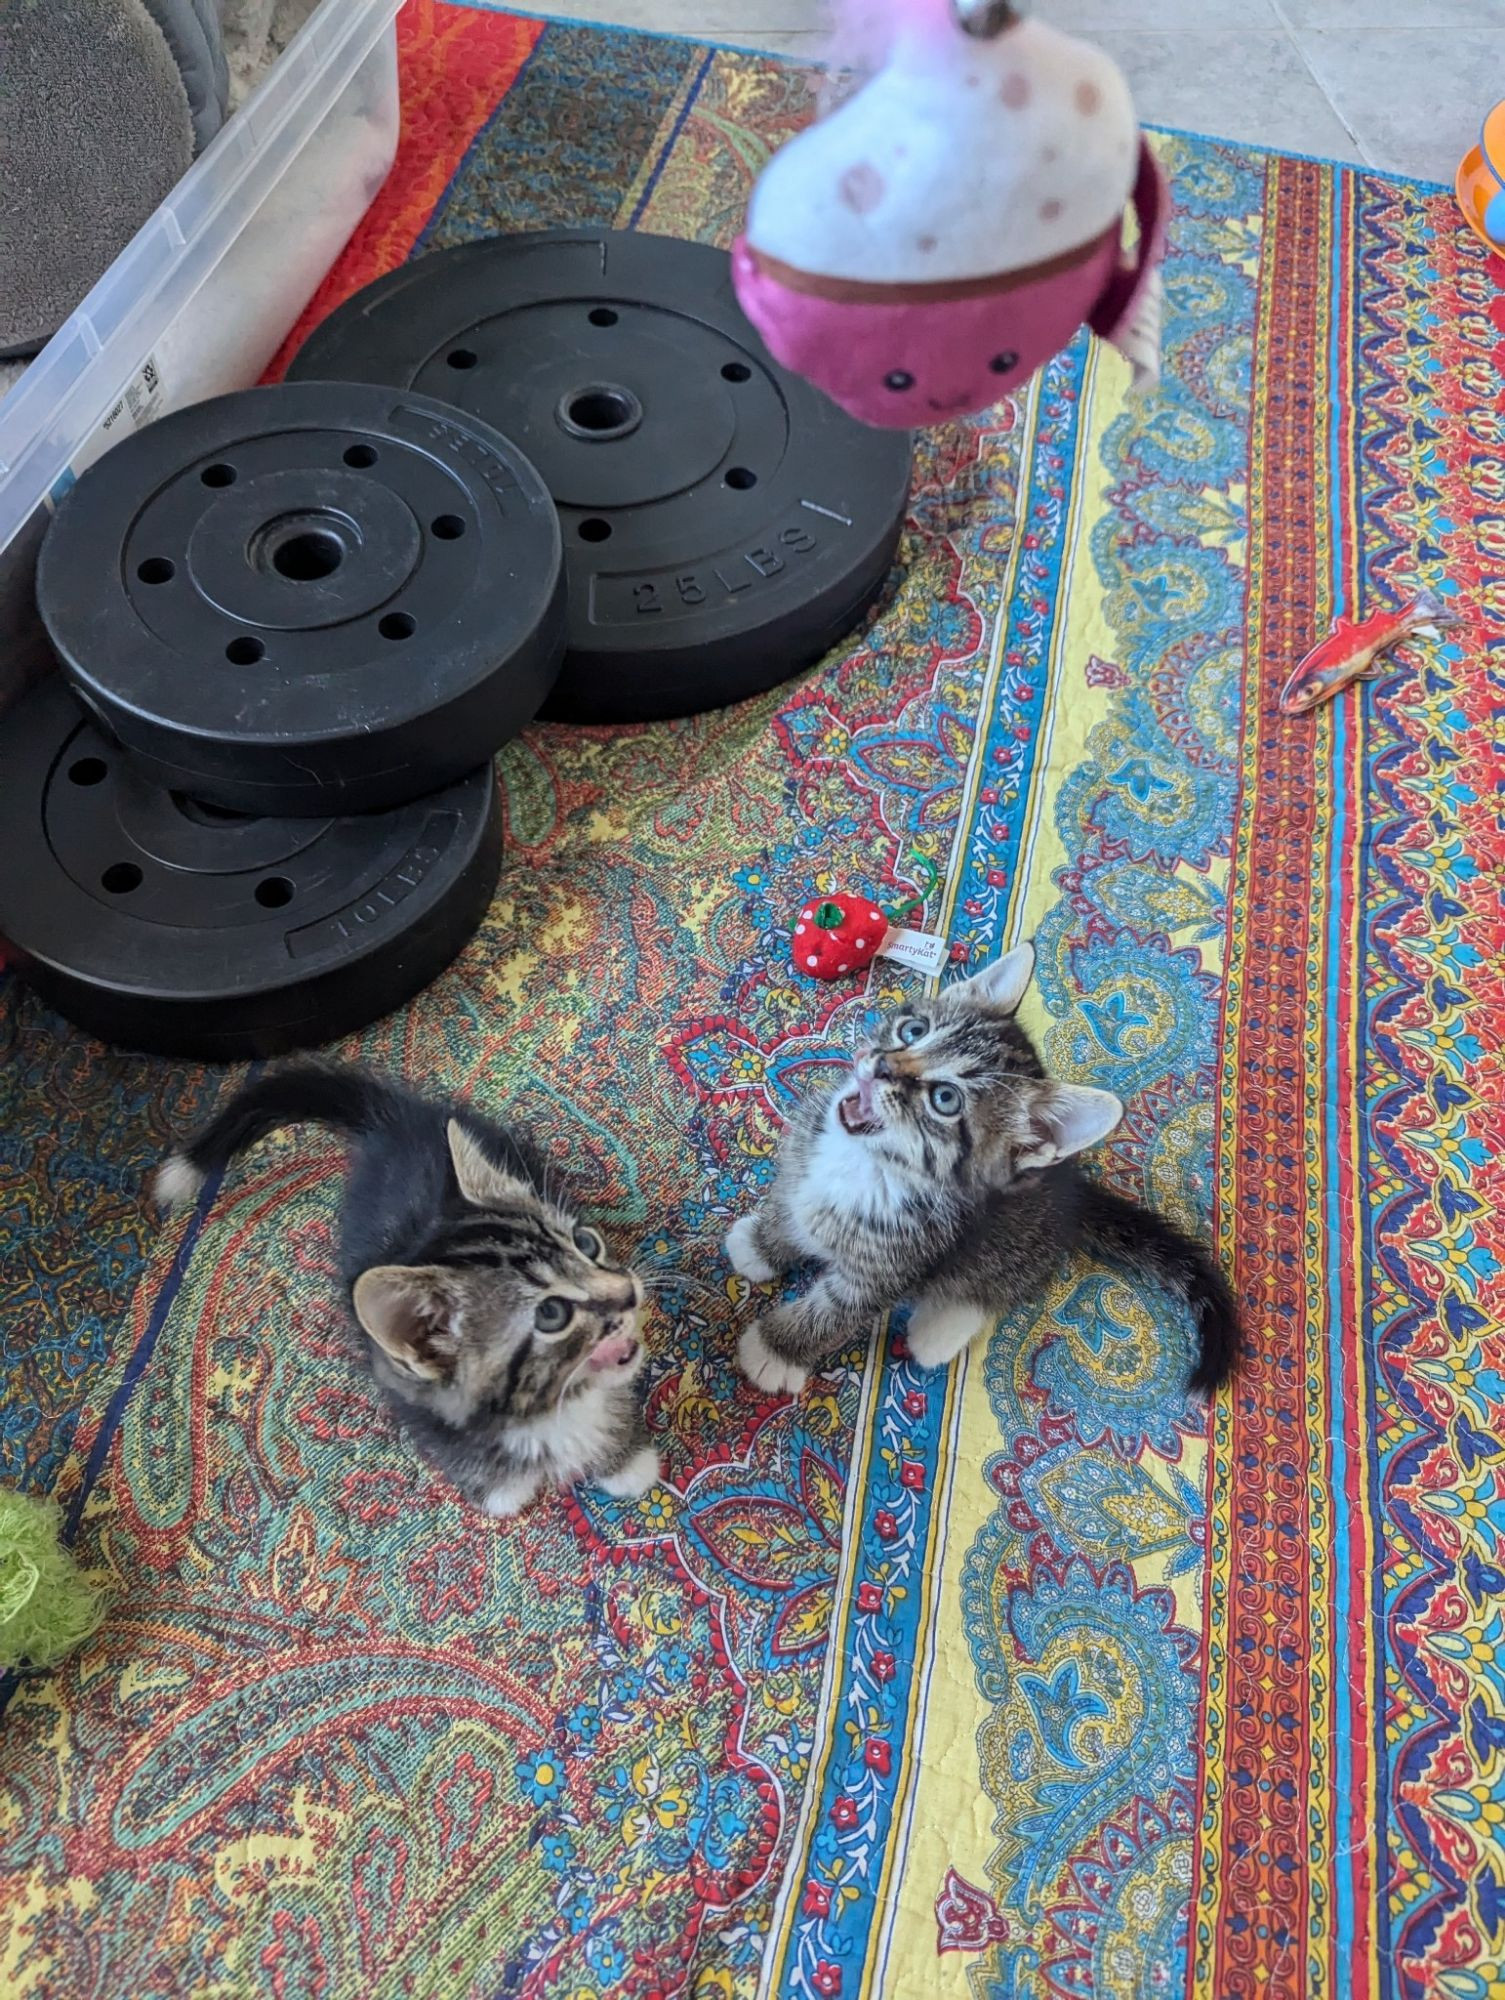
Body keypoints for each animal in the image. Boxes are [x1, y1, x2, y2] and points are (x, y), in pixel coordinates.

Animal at [154, 1064, 664, 1512]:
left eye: (586, 1243)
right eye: (552, 1313)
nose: (629, 1290)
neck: (540, 1416)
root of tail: (389, 1118)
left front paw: (625, 1460)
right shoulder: (414, 1401)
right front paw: (497, 1489)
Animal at [724, 944, 1232, 1400]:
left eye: (945, 1099)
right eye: (914, 1029)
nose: (881, 1063)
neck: (865, 1163)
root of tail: (1072, 1185)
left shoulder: (895, 1268)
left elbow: (832, 1315)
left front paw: (774, 1351)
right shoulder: (803, 1168)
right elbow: (789, 1214)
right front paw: (761, 1246)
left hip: (1017, 1255)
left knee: (998, 1286)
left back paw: (939, 1329)